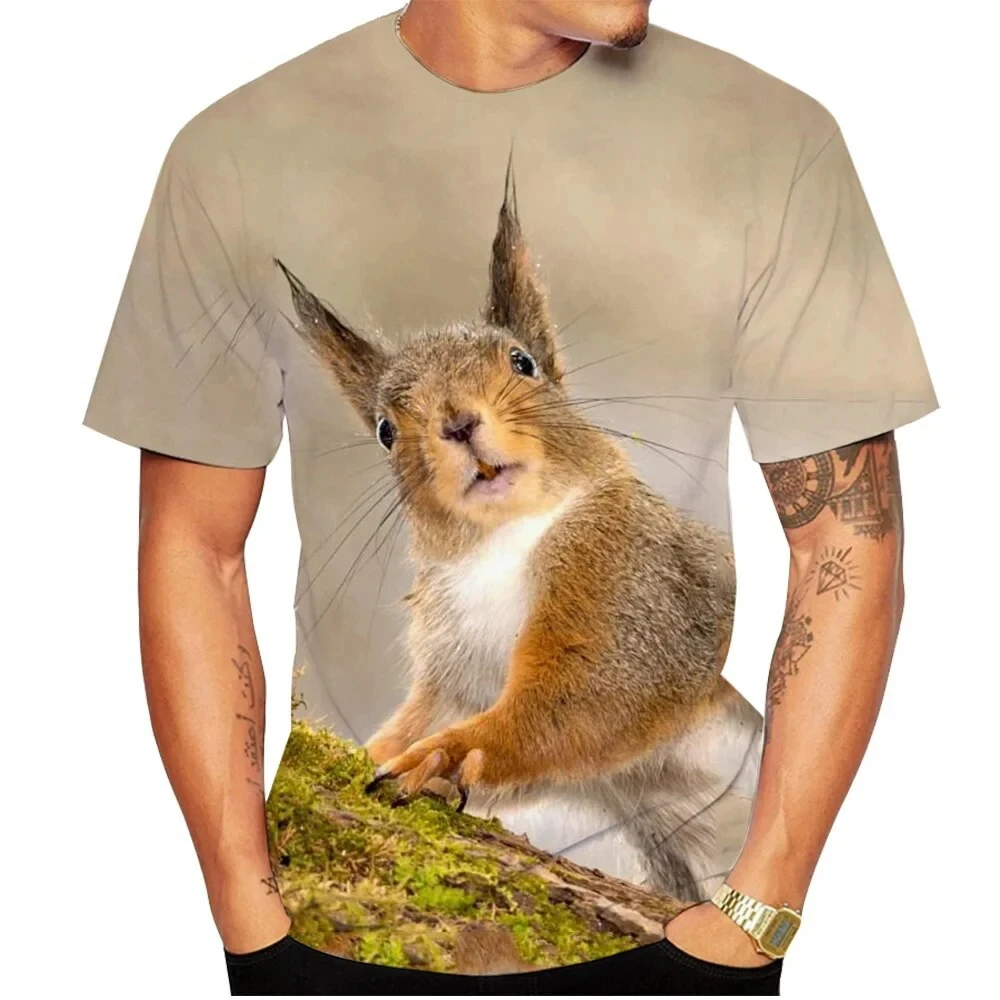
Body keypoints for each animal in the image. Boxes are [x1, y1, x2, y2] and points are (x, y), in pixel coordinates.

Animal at [273, 159, 762, 905]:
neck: (499, 545)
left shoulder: (634, 593)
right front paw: (386, 751)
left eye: (522, 362)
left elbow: (578, 707)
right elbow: (428, 722)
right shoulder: (454, 665)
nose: (457, 422)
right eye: (385, 430)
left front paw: (440, 755)